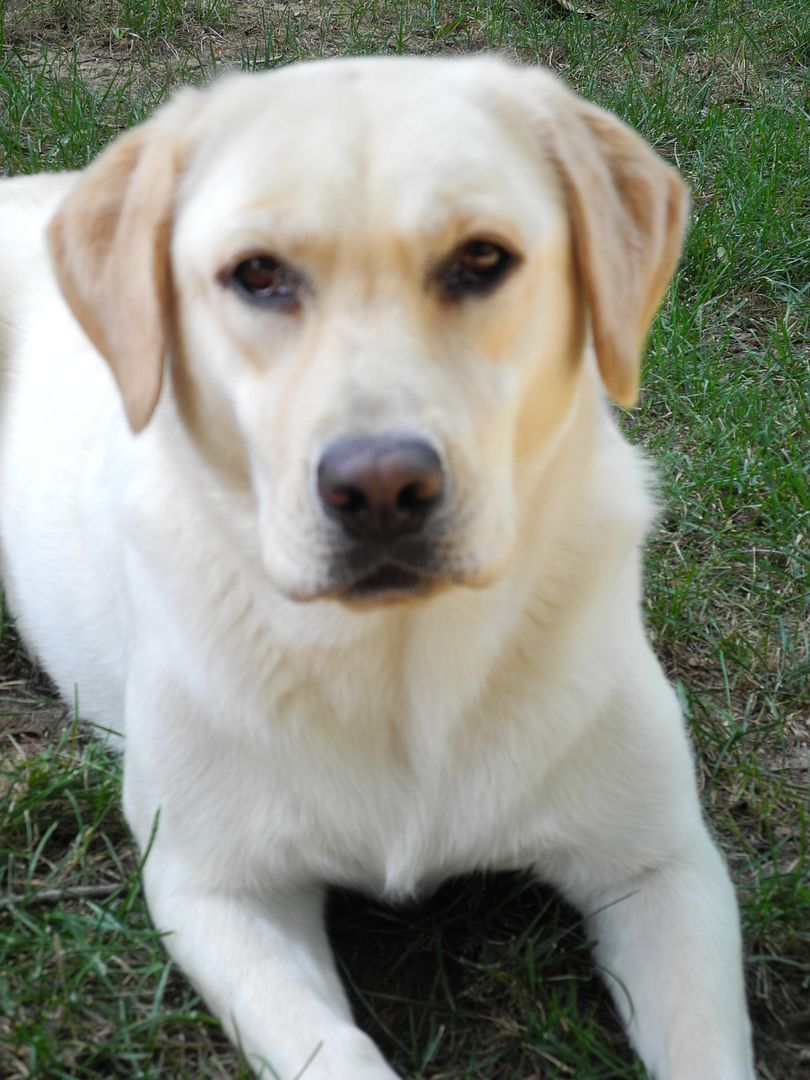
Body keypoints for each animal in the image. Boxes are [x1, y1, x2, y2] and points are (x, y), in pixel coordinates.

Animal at [3, 59, 760, 1080]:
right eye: (258, 274)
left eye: (481, 259)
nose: (381, 488)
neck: (400, 659)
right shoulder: (217, 892)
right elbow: (339, 1056)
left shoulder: (662, 863)